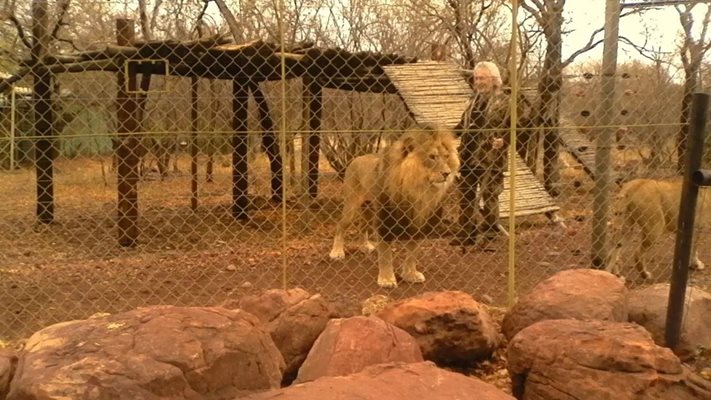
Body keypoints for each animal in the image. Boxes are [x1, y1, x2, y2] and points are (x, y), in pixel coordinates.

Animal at [330, 125, 462, 288]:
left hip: (369, 208)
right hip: (352, 206)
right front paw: (386, 279)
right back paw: (336, 252)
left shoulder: (418, 222)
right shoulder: (385, 220)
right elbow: (386, 254)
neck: (417, 189)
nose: (447, 173)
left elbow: (412, 253)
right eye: (432, 157)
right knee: (340, 226)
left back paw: (365, 246)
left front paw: (410, 274)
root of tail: (357, 158)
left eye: (446, 157)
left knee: (362, 226)